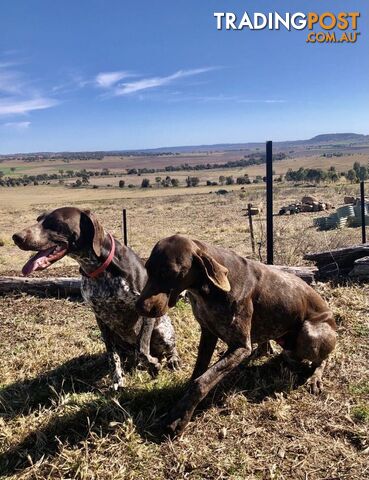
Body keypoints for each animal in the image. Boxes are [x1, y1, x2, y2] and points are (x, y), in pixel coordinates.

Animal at [13, 208, 180, 388]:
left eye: (55, 222)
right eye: (38, 219)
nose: (16, 237)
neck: (98, 269)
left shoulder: (146, 310)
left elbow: (142, 348)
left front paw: (153, 365)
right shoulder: (101, 318)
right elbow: (113, 356)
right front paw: (118, 380)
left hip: (163, 330)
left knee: (167, 348)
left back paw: (172, 360)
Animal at [136, 234, 336, 436]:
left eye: (170, 272)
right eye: (148, 268)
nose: (140, 307)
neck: (207, 290)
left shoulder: (240, 346)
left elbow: (201, 382)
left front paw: (178, 419)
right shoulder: (208, 333)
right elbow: (198, 372)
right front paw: (180, 401)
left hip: (310, 332)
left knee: (322, 359)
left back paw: (315, 378)